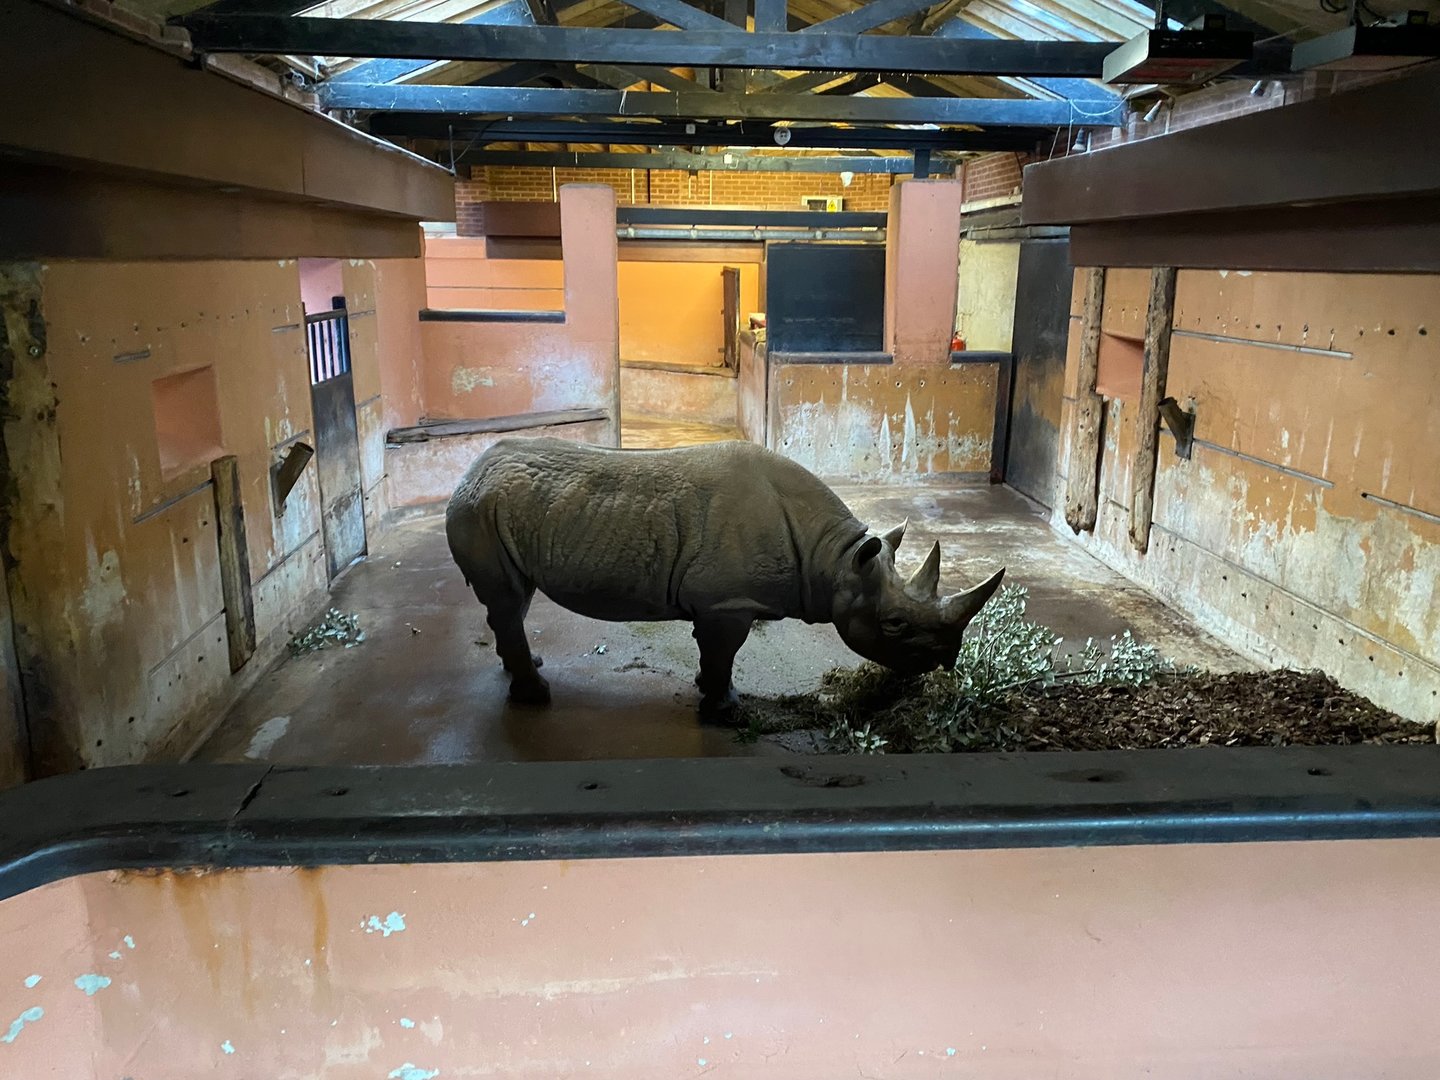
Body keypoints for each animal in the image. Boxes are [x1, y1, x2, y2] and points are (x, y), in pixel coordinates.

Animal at [446, 437, 1005, 721]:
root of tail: (467, 471)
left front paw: (708, 690)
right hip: (478, 509)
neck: (837, 557)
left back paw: (527, 671)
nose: (946, 660)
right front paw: (723, 708)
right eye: (893, 625)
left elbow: (714, 655)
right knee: (508, 599)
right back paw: (536, 695)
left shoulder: (722, 604)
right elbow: (723, 654)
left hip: (495, 510)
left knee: (514, 599)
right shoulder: (727, 603)